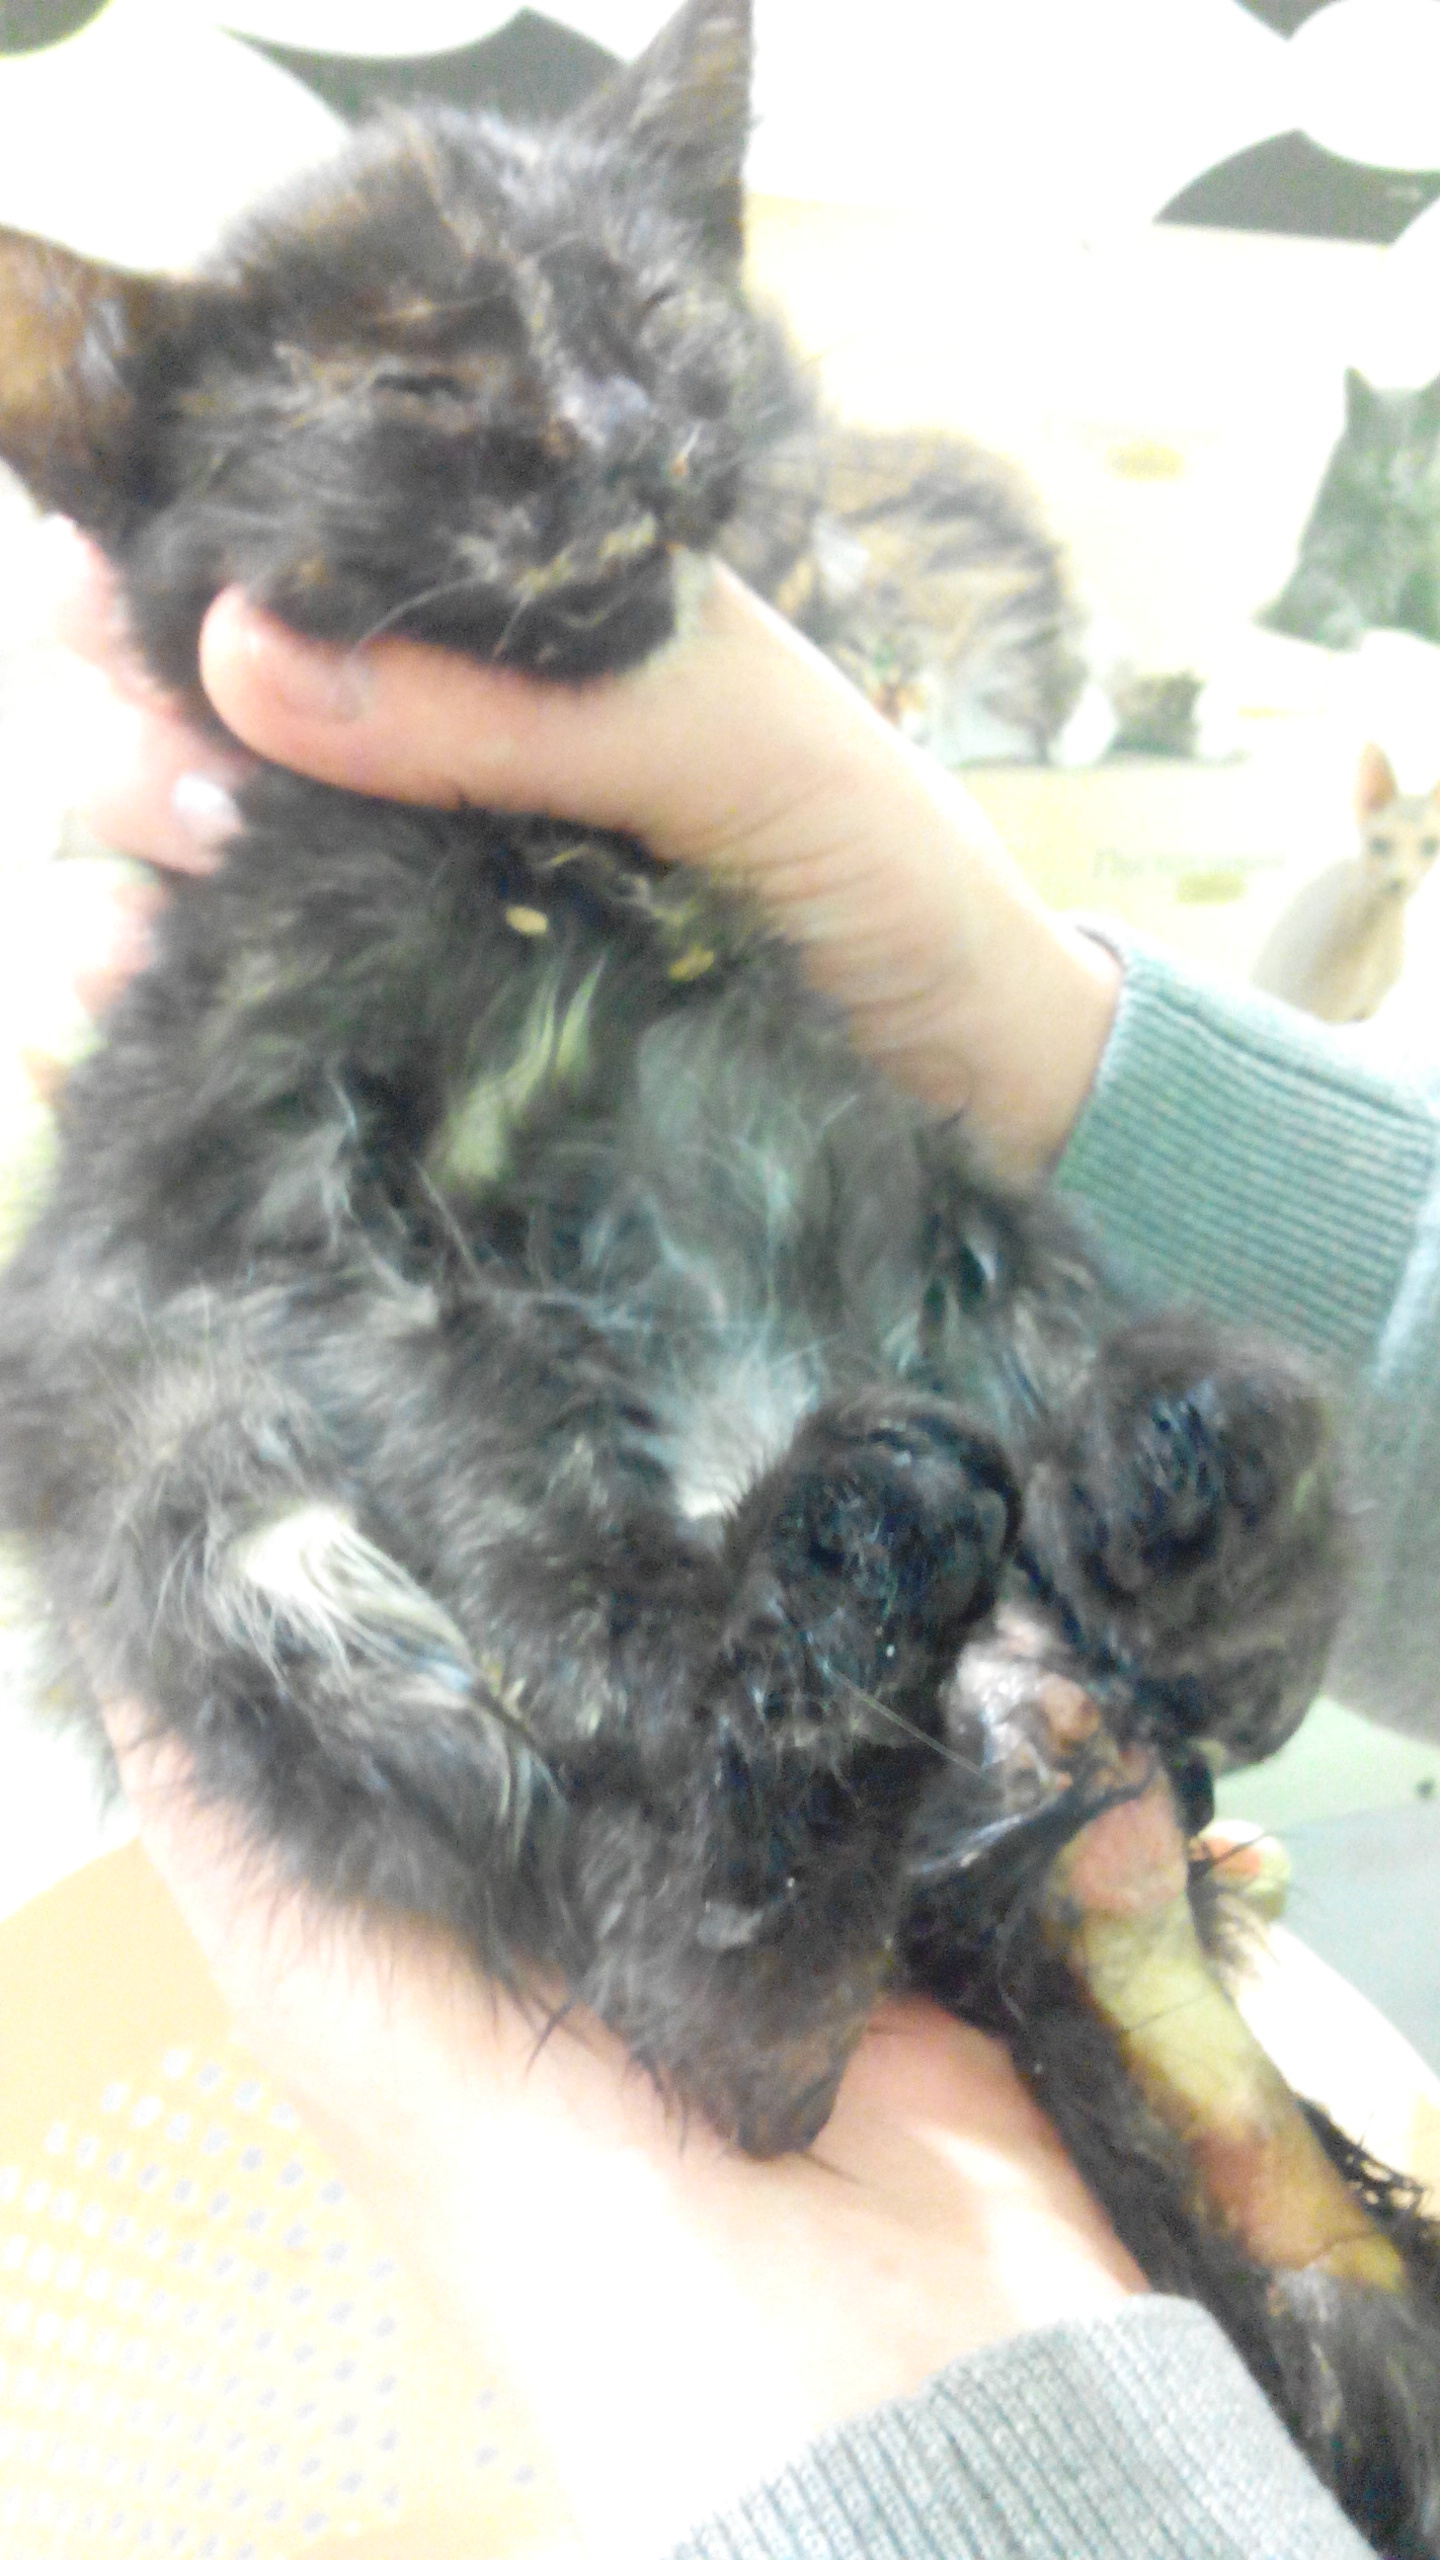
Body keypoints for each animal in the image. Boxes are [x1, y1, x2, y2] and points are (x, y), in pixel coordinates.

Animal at [1263, 367, 1440, 651]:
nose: (1390, 481)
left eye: (1414, 455)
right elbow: (1329, 598)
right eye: (1373, 452)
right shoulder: (1316, 570)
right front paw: (1343, 633)